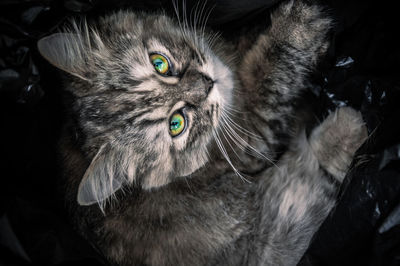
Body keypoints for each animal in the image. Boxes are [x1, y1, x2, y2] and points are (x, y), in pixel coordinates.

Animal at [36, 0, 366, 266]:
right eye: (176, 124)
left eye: (160, 64)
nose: (206, 84)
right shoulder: (253, 139)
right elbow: (269, 75)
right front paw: (297, 27)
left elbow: (252, 50)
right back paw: (349, 127)